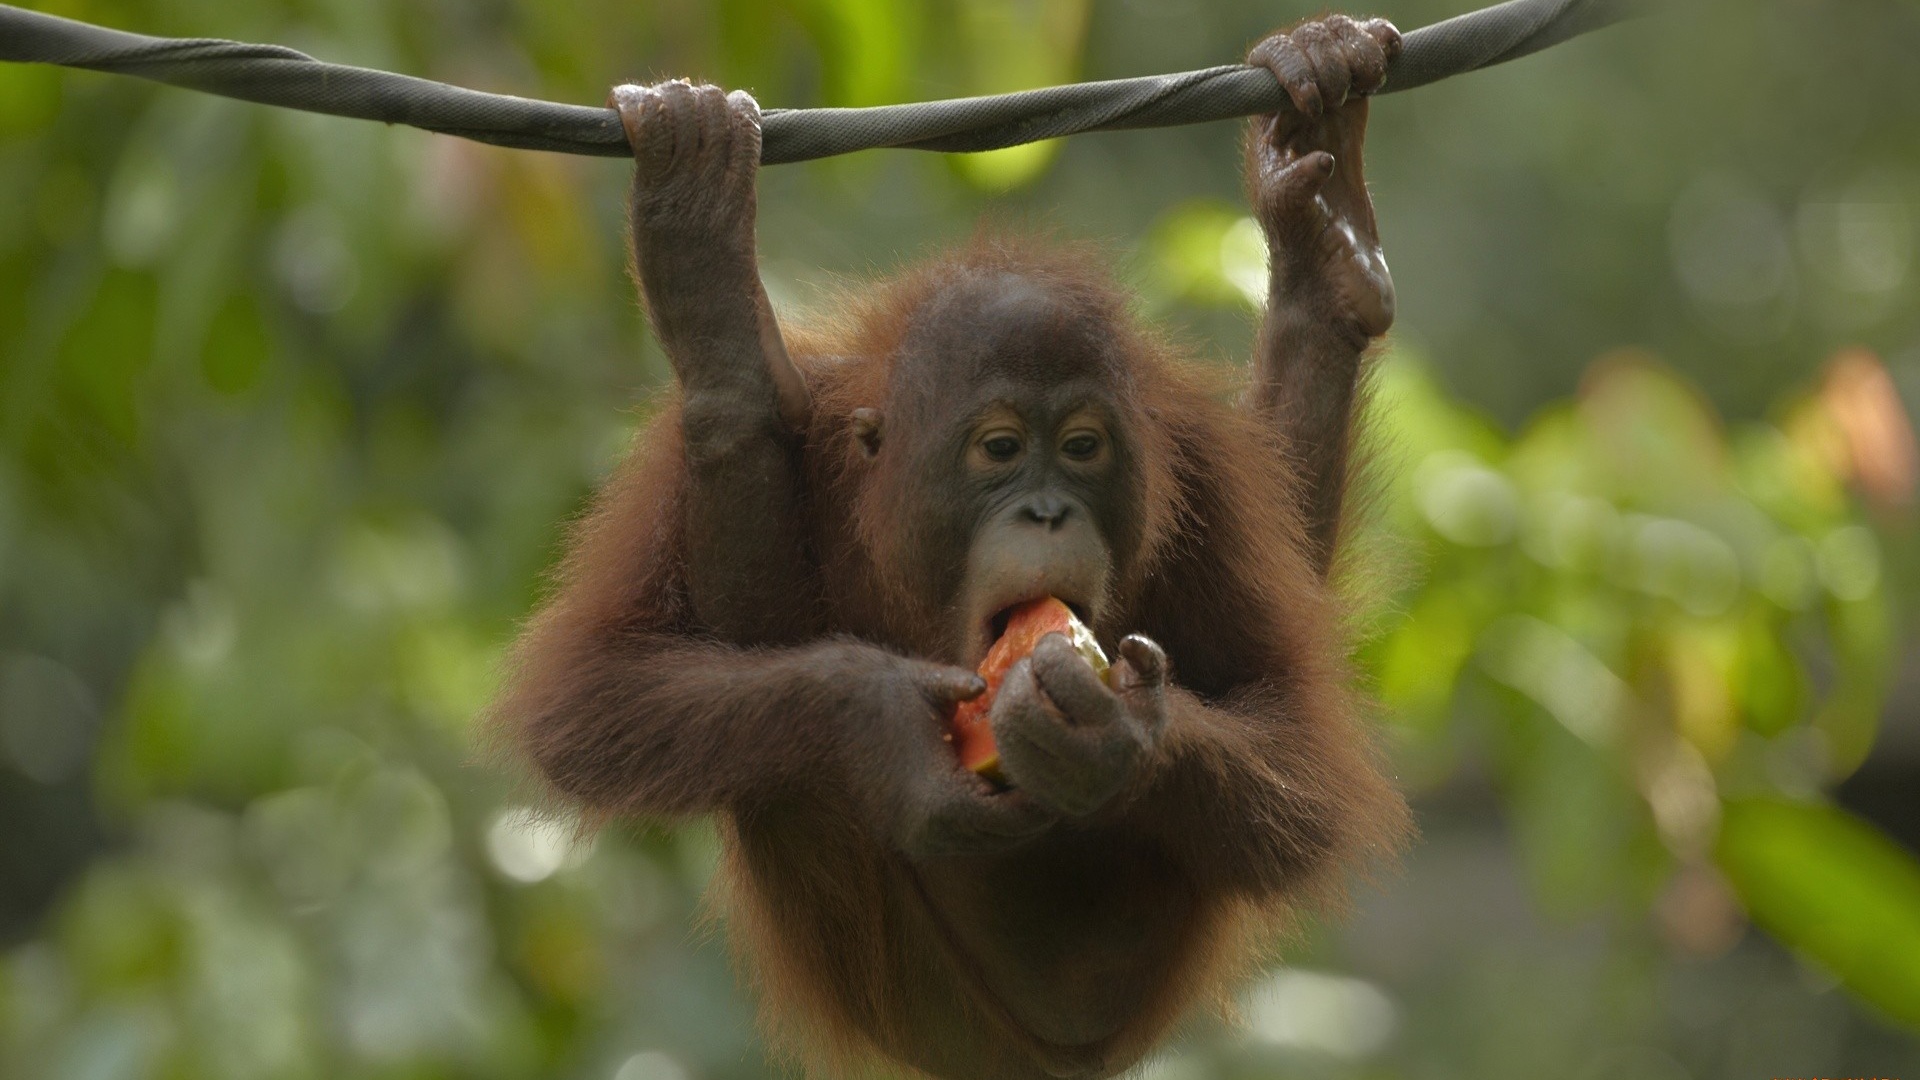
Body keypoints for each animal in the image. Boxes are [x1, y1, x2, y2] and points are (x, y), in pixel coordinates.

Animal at [490, 15, 1411, 1080]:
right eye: (1001, 449)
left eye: (1083, 447)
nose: (1048, 512)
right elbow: (590, 697)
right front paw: (882, 719)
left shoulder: (1209, 472)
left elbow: (1301, 754)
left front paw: (1115, 738)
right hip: (900, 987)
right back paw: (718, 325)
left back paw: (1325, 241)